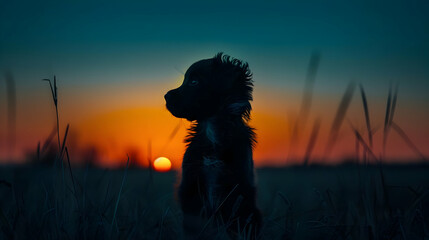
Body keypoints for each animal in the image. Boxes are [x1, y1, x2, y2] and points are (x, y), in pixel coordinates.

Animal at [165, 52, 260, 238]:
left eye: (194, 82)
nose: (165, 96)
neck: (211, 130)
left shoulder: (237, 188)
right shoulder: (191, 186)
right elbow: (193, 226)